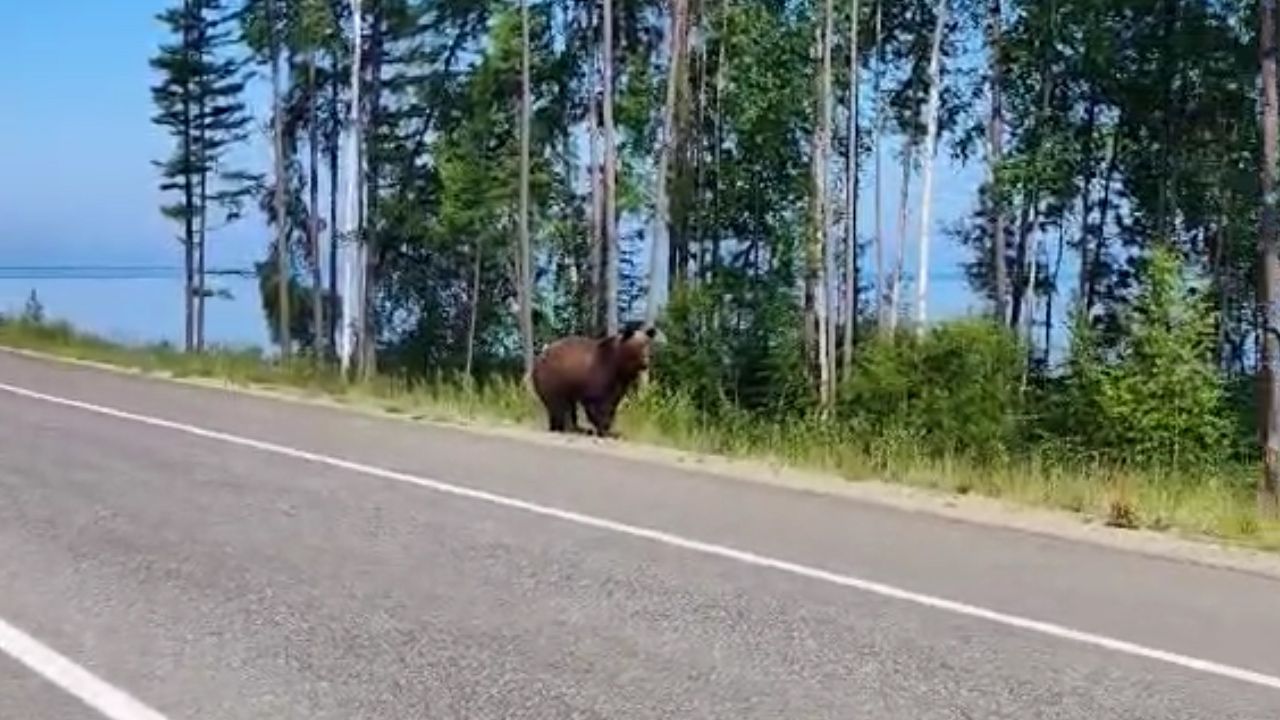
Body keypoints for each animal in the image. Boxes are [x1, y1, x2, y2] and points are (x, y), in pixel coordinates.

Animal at [529, 320, 660, 438]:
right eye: (638, 346)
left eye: (648, 344)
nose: (646, 362)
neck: (620, 366)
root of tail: (539, 358)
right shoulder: (599, 376)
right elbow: (597, 404)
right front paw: (606, 430)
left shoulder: (619, 383)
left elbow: (612, 403)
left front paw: (611, 429)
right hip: (554, 379)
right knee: (559, 405)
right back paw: (569, 427)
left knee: (566, 407)